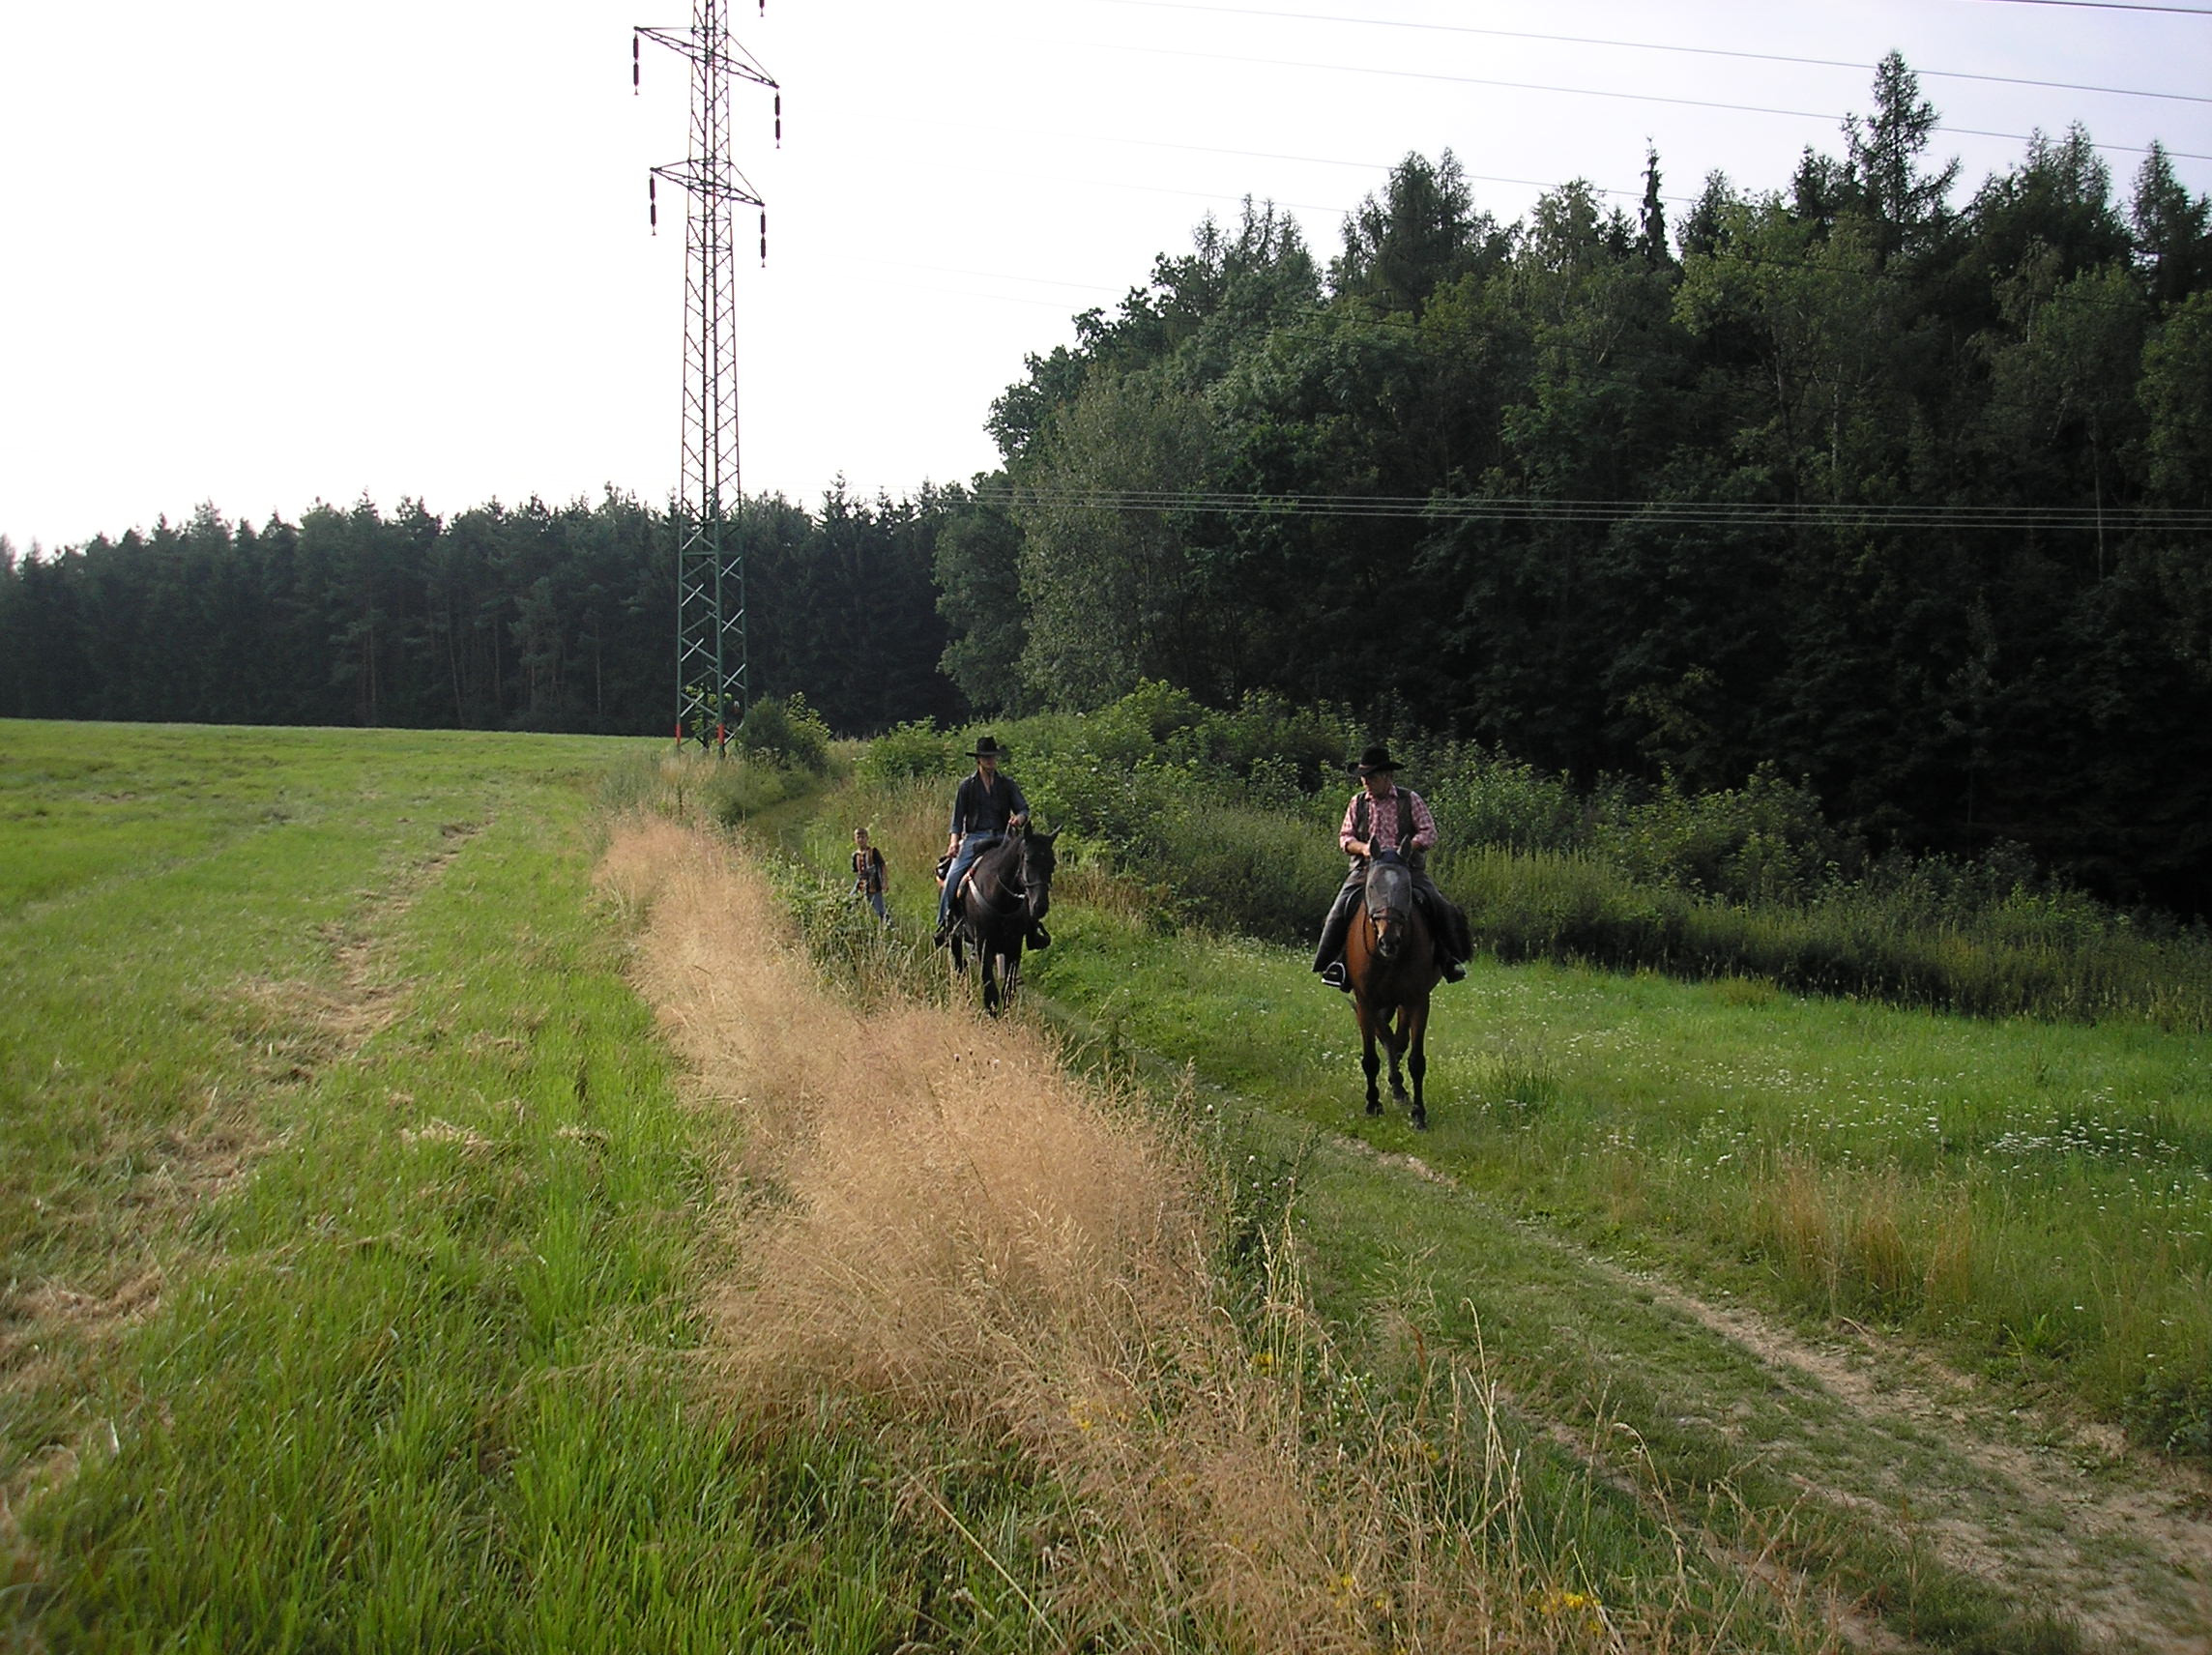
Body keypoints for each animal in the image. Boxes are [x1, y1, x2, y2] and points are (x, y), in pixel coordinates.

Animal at [946, 823, 1057, 1013]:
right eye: (1028, 860)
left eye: (1053, 864)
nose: (1040, 906)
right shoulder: (984, 946)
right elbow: (991, 991)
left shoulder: (1014, 948)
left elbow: (1008, 991)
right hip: (956, 935)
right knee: (960, 966)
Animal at [1335, 854, 1441, 1123]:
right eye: (1371, 886)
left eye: (1406, 889)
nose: (1388, 941)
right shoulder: (1365, 1000)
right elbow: (1372, 1055)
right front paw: (1373, 1104)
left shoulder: (1418, 1000)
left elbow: (1415, 1059)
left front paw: (1418, 1113)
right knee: (1386, 1036)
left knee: (1398, 1039)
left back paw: (1399, 1088)